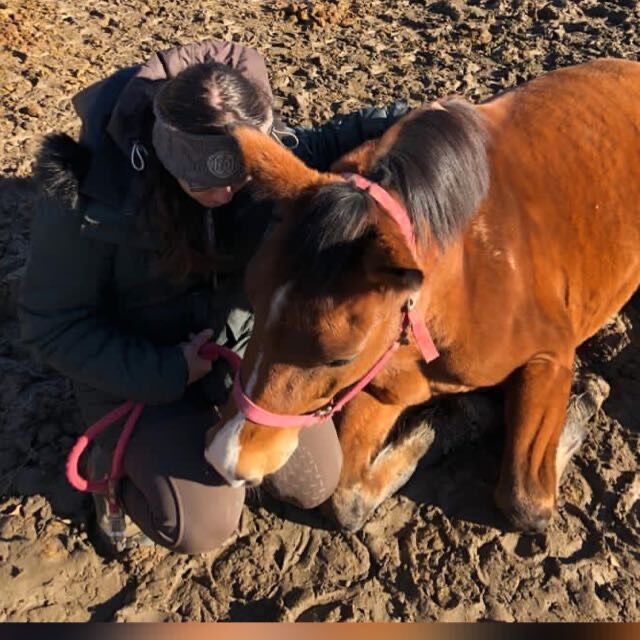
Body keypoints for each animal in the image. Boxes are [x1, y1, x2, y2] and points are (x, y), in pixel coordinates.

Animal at [204, 60, 640, 528]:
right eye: (253, 302)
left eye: (339, 356)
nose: (225, 457)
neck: (461, 278)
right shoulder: (381, 378)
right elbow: (346, 499)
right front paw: (458, 421)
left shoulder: (551, 356)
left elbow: (527, 503)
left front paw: (588, 396)